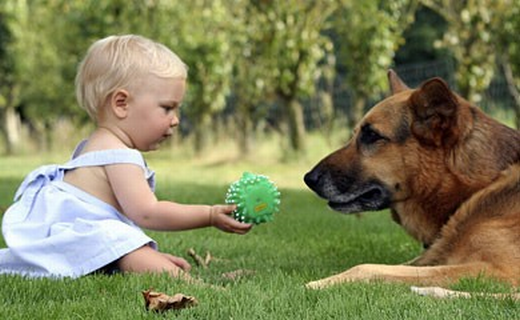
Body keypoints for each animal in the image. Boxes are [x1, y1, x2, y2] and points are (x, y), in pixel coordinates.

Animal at [302, 69, 520, 296]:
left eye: (372, 135)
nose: (309, 179)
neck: (479, 187)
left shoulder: (498, 271)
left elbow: (365, 267)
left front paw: (318, 283)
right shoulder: (431, 257)